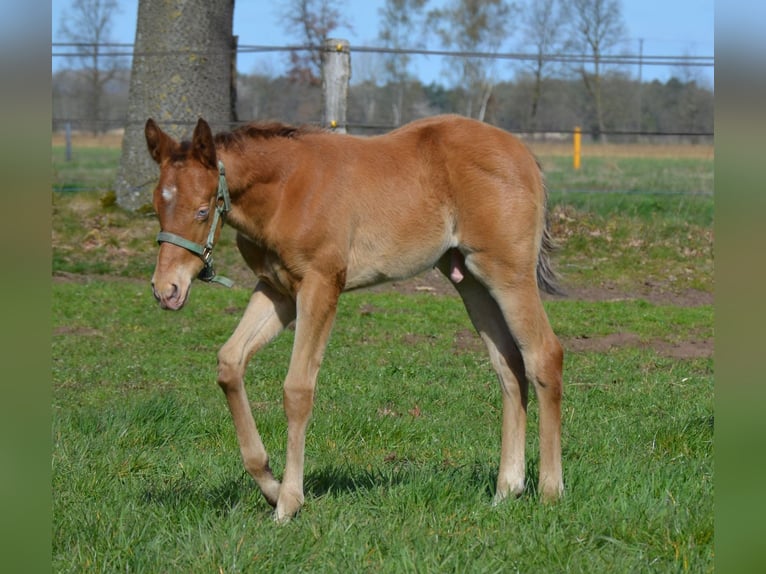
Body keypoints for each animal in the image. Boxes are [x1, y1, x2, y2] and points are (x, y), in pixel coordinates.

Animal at [145, 114, 564, 521]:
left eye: (202, 210)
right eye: (157, 208)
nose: (167, 290)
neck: (286, 190)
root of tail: (524, 155)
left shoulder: (320, 285)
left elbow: (298, 389)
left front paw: (288, 503)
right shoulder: (277, 290)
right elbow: (230, 363)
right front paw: (271, 486)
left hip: (507, 273)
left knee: (544, 354)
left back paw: (549, 491)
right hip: (470, 280)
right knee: (508, 364)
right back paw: (507, 489)